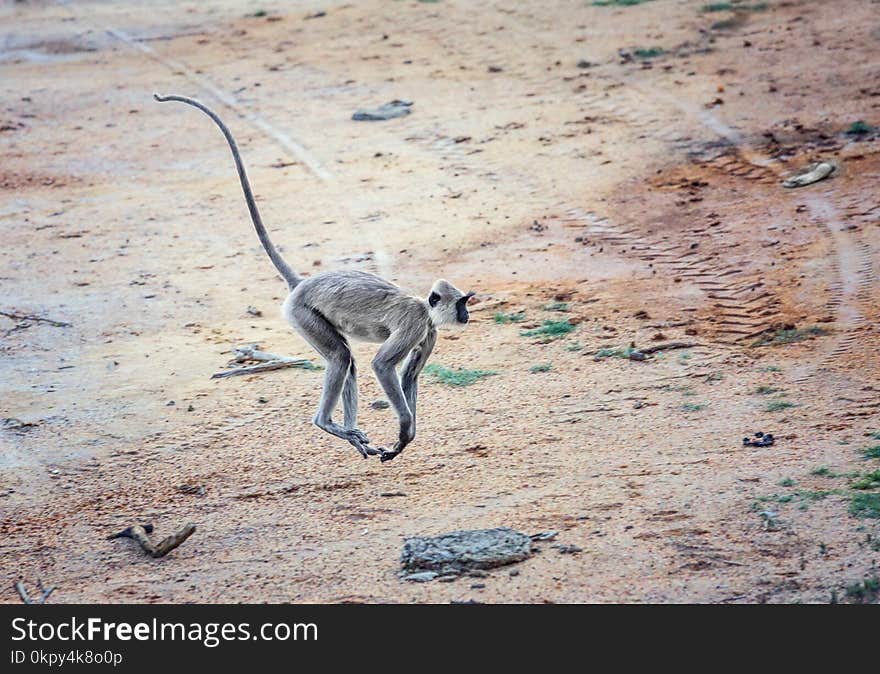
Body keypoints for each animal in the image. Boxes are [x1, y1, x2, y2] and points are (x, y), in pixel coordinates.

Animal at [155, 93, 478, 462]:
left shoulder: (429, 332)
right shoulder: (414, 323)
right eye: (462, 304)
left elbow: (409, 375)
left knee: (347, 361)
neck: (425, 309)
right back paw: (327, 423)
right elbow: (383, 366)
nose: (467, 315)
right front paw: (404, 428)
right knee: (341, 357)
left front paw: (403, 438)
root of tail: (302, 284)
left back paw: (352, 434)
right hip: (301, 315)